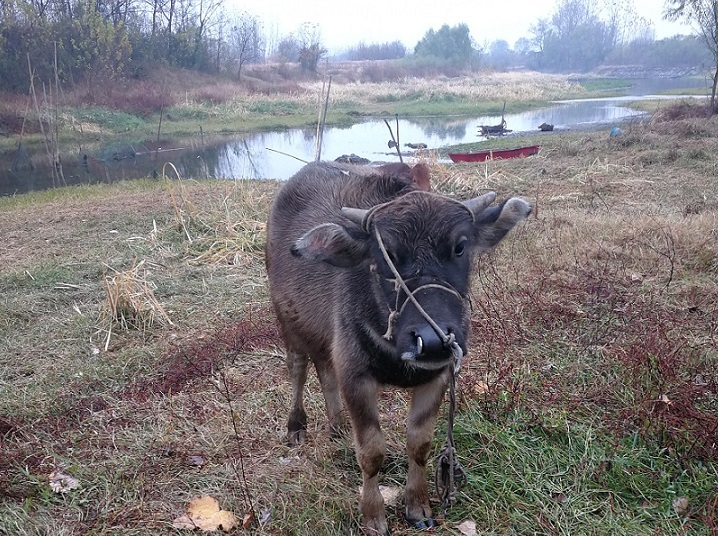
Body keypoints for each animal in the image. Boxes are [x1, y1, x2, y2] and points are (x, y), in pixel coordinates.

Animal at [268, 161, 532, 532]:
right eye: (387, 254)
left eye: (460, 246)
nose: (432, 341)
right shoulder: (357, 377)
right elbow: (371, 452)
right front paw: (373, 516)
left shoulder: (436, 377)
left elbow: (419, 445)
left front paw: (418, 506)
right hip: (287, 320)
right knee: (298, 368)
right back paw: (296, 427)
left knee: (324, 369)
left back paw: (337, 427)